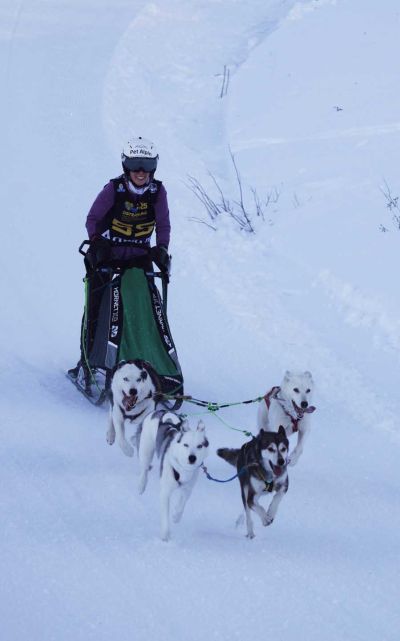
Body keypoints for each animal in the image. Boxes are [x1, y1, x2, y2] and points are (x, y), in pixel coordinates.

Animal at [137, 410, 209, 541]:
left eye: (200, 446)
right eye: (186, 445)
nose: (192, 457)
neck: (183, 470)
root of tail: (160, 411)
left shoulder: (187, 489)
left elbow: (182, 503)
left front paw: (176, 516)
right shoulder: (165, 492)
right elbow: (165, 517)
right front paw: (165, 535)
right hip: (146, 450)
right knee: (144, 468)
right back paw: (141, 485)